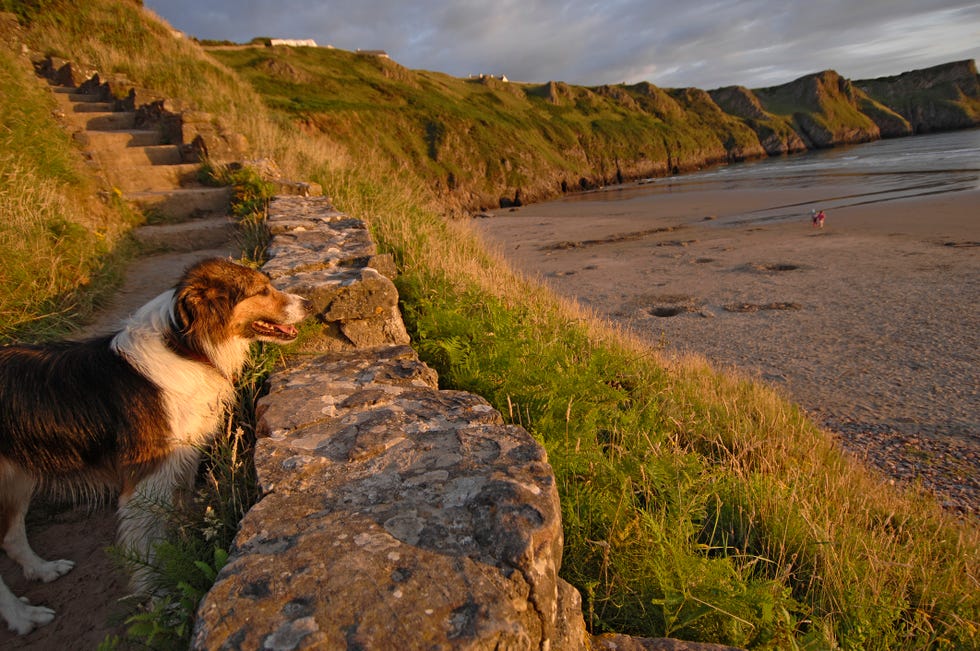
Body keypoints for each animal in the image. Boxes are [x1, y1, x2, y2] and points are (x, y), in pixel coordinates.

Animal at [0, 258, 310, 636]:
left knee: (10, 536)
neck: (187, 347)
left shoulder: (180, 463)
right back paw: (21, 616)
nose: (309, 303)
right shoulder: (144, 480)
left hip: (17, 479)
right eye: (262, 290)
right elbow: (147, 546)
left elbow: (174, 520)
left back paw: (42, 569)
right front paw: (161, 599)